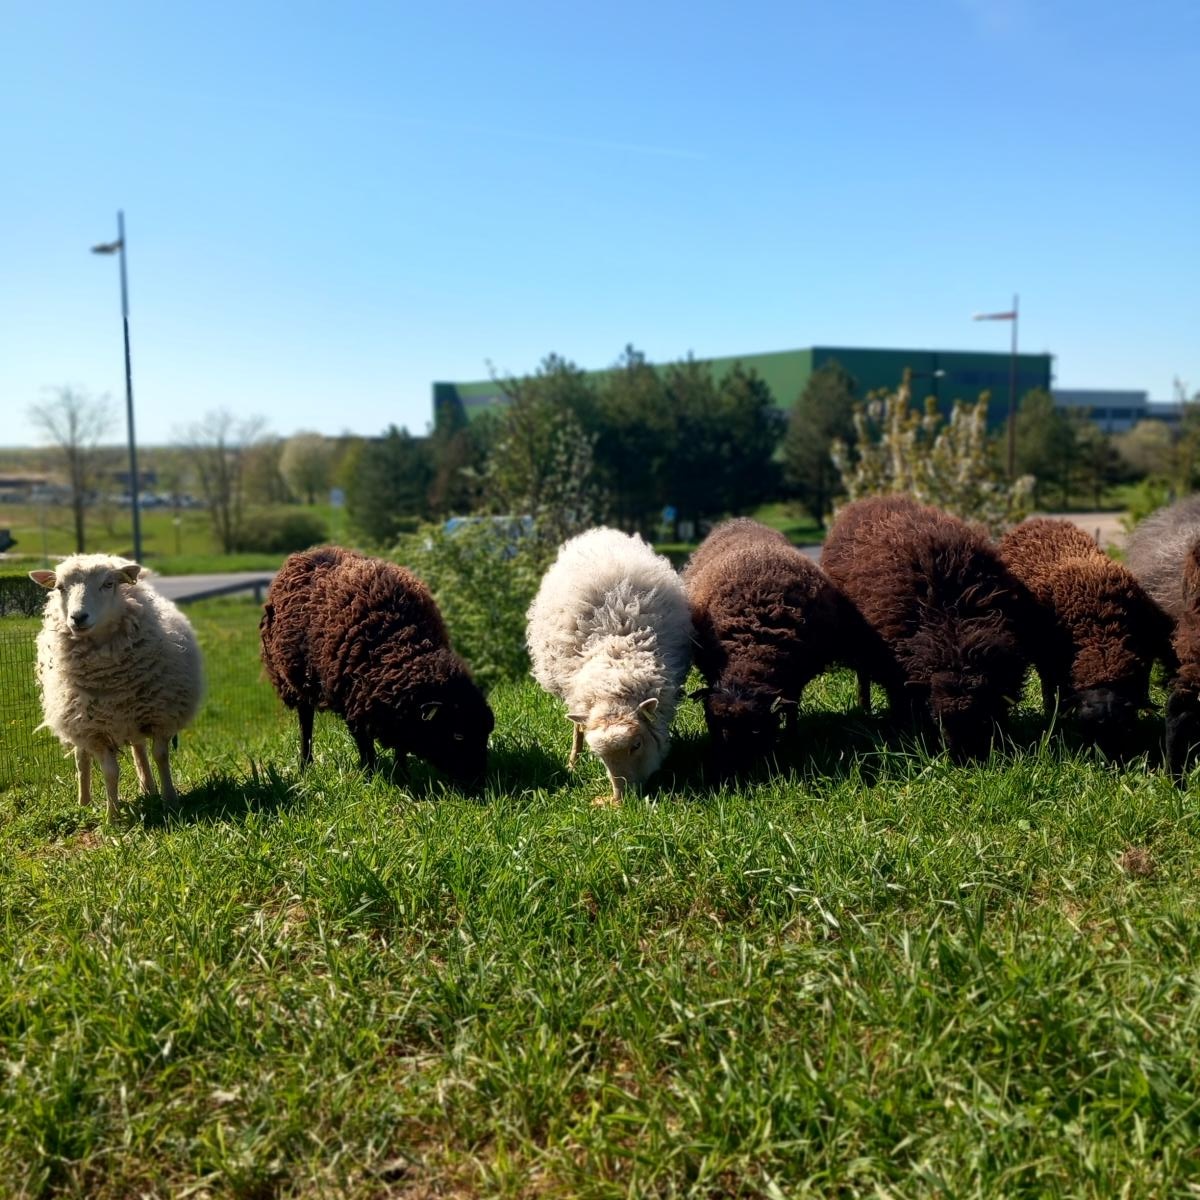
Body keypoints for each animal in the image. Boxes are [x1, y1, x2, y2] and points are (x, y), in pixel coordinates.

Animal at [30, 554, 203, 819]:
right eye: (60, 587)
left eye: (108, 584)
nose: (78, 618)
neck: (111, 678)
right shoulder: (96, 730)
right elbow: (110, 772)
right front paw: (112, 816)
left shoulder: (160, 716)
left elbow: (160, 756)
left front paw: (170, 800)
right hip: (77, 719)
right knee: (81, 758)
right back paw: (84, 802)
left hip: (133, 714)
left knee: (139, 749)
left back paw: (148, 788)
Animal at [260, 546, 494, 787]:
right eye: (457, 735)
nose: (479, 781)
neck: (402, 642)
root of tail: (308, 553)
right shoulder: (354, 701)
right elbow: (366, 746)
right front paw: (369, 778)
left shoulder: (395, 707)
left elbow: (401, 747)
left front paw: (403, 775)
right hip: (293, 683)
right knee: (305, 724)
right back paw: (305, 766)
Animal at [526, 526, 692, 804]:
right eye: (599, 756)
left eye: (636, 745)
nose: (621, 800)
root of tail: (599, 532)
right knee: (577, 726)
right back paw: (573, 761)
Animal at [683, 517, 891, 770]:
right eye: (714, 728)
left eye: (757, 730)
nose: (735, 768)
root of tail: (740, 520)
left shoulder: (796, 676)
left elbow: (791, 709)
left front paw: (791, 741)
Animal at [821, 495, 1036, 760]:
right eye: (939, 720)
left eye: (984, 715)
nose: (967, 760)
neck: (952, 626)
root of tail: (868, 501)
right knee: (863, 680)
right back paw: (867, 711)